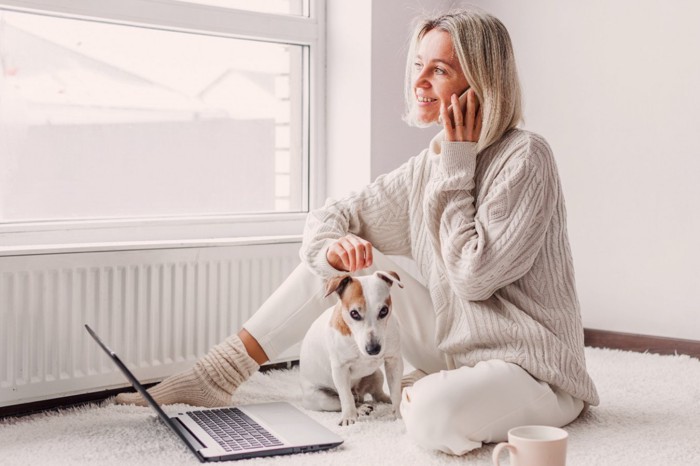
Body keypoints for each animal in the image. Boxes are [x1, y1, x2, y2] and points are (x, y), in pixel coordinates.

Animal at [300, 270, 404, 426]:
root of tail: (358, 393)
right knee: (347, 401)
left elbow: (396, 391)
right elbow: (346, 397)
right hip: (323, 399)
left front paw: (398, 414)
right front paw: (349, 418)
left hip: (377, 374)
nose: (373, 349)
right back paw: (360, 409)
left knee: (377, 395)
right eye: (354, 313)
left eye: (384, 311)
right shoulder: (340, 369)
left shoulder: (394, 361)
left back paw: (385, 400)